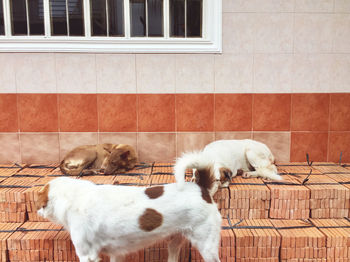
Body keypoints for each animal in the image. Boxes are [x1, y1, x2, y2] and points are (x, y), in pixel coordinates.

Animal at [35, 174, 221, 262]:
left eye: (40, 204)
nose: (37, 211)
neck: (74, 197)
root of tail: (201, 188)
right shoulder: (116, 254)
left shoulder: (87, 255)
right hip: (175, 241)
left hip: (207, 247)